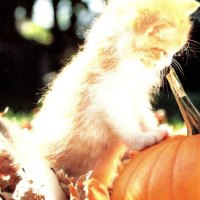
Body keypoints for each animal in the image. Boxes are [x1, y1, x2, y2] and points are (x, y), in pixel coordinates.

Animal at [1, 0, 198, 189]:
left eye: (174, 52)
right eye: (161, 51)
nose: (168, 63)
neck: (130, 64)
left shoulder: (136, 100)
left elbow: (145, 118)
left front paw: (157, 131)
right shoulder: (107, 101)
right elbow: (128, 128)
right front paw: (145, 140)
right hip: (47, 178)